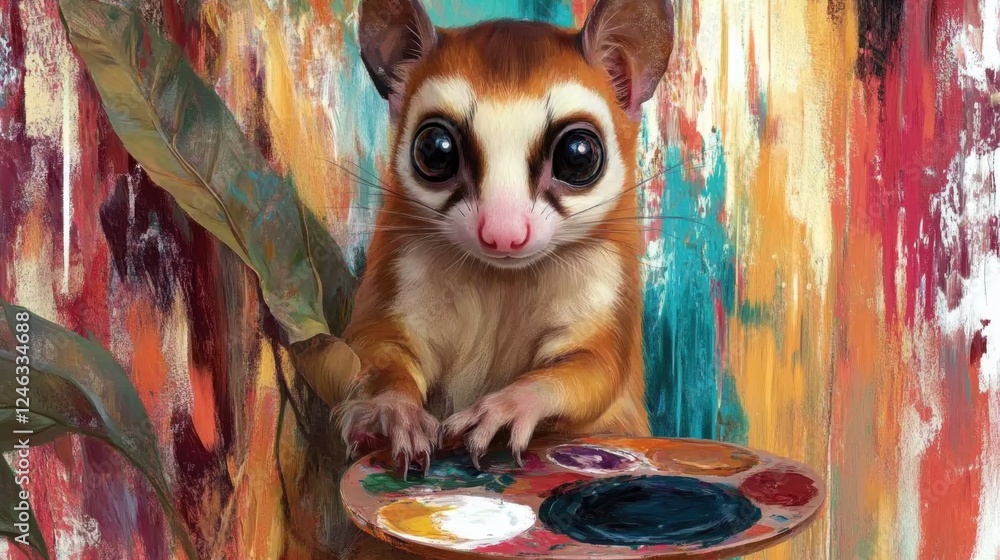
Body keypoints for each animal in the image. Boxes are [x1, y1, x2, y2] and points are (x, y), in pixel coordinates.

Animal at [333, 0, 675, 475]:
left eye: (578, 155)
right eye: (435, 149)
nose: (503, 235)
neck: (501, 277)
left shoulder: (604, 274)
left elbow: (595, 365)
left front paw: (510, 405)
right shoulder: (399, 260)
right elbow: (378, 344)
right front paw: (394, 410)